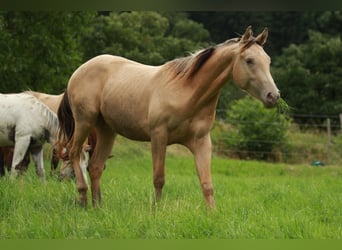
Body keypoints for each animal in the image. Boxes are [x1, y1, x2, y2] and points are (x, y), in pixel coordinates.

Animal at [56, 25, 280, 209]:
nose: (273, 96)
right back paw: (83, 198)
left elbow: (207, 184)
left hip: (106, 130)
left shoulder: (202, 142)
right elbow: (159, 178)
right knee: (75, 153)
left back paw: (98, 207)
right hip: (85, 121)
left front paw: (212, 215)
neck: (186, 92)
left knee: (95, 166)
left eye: (268, 61)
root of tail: (78, 72)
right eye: (249, 60)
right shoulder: (159, 137)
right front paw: (156, 211)